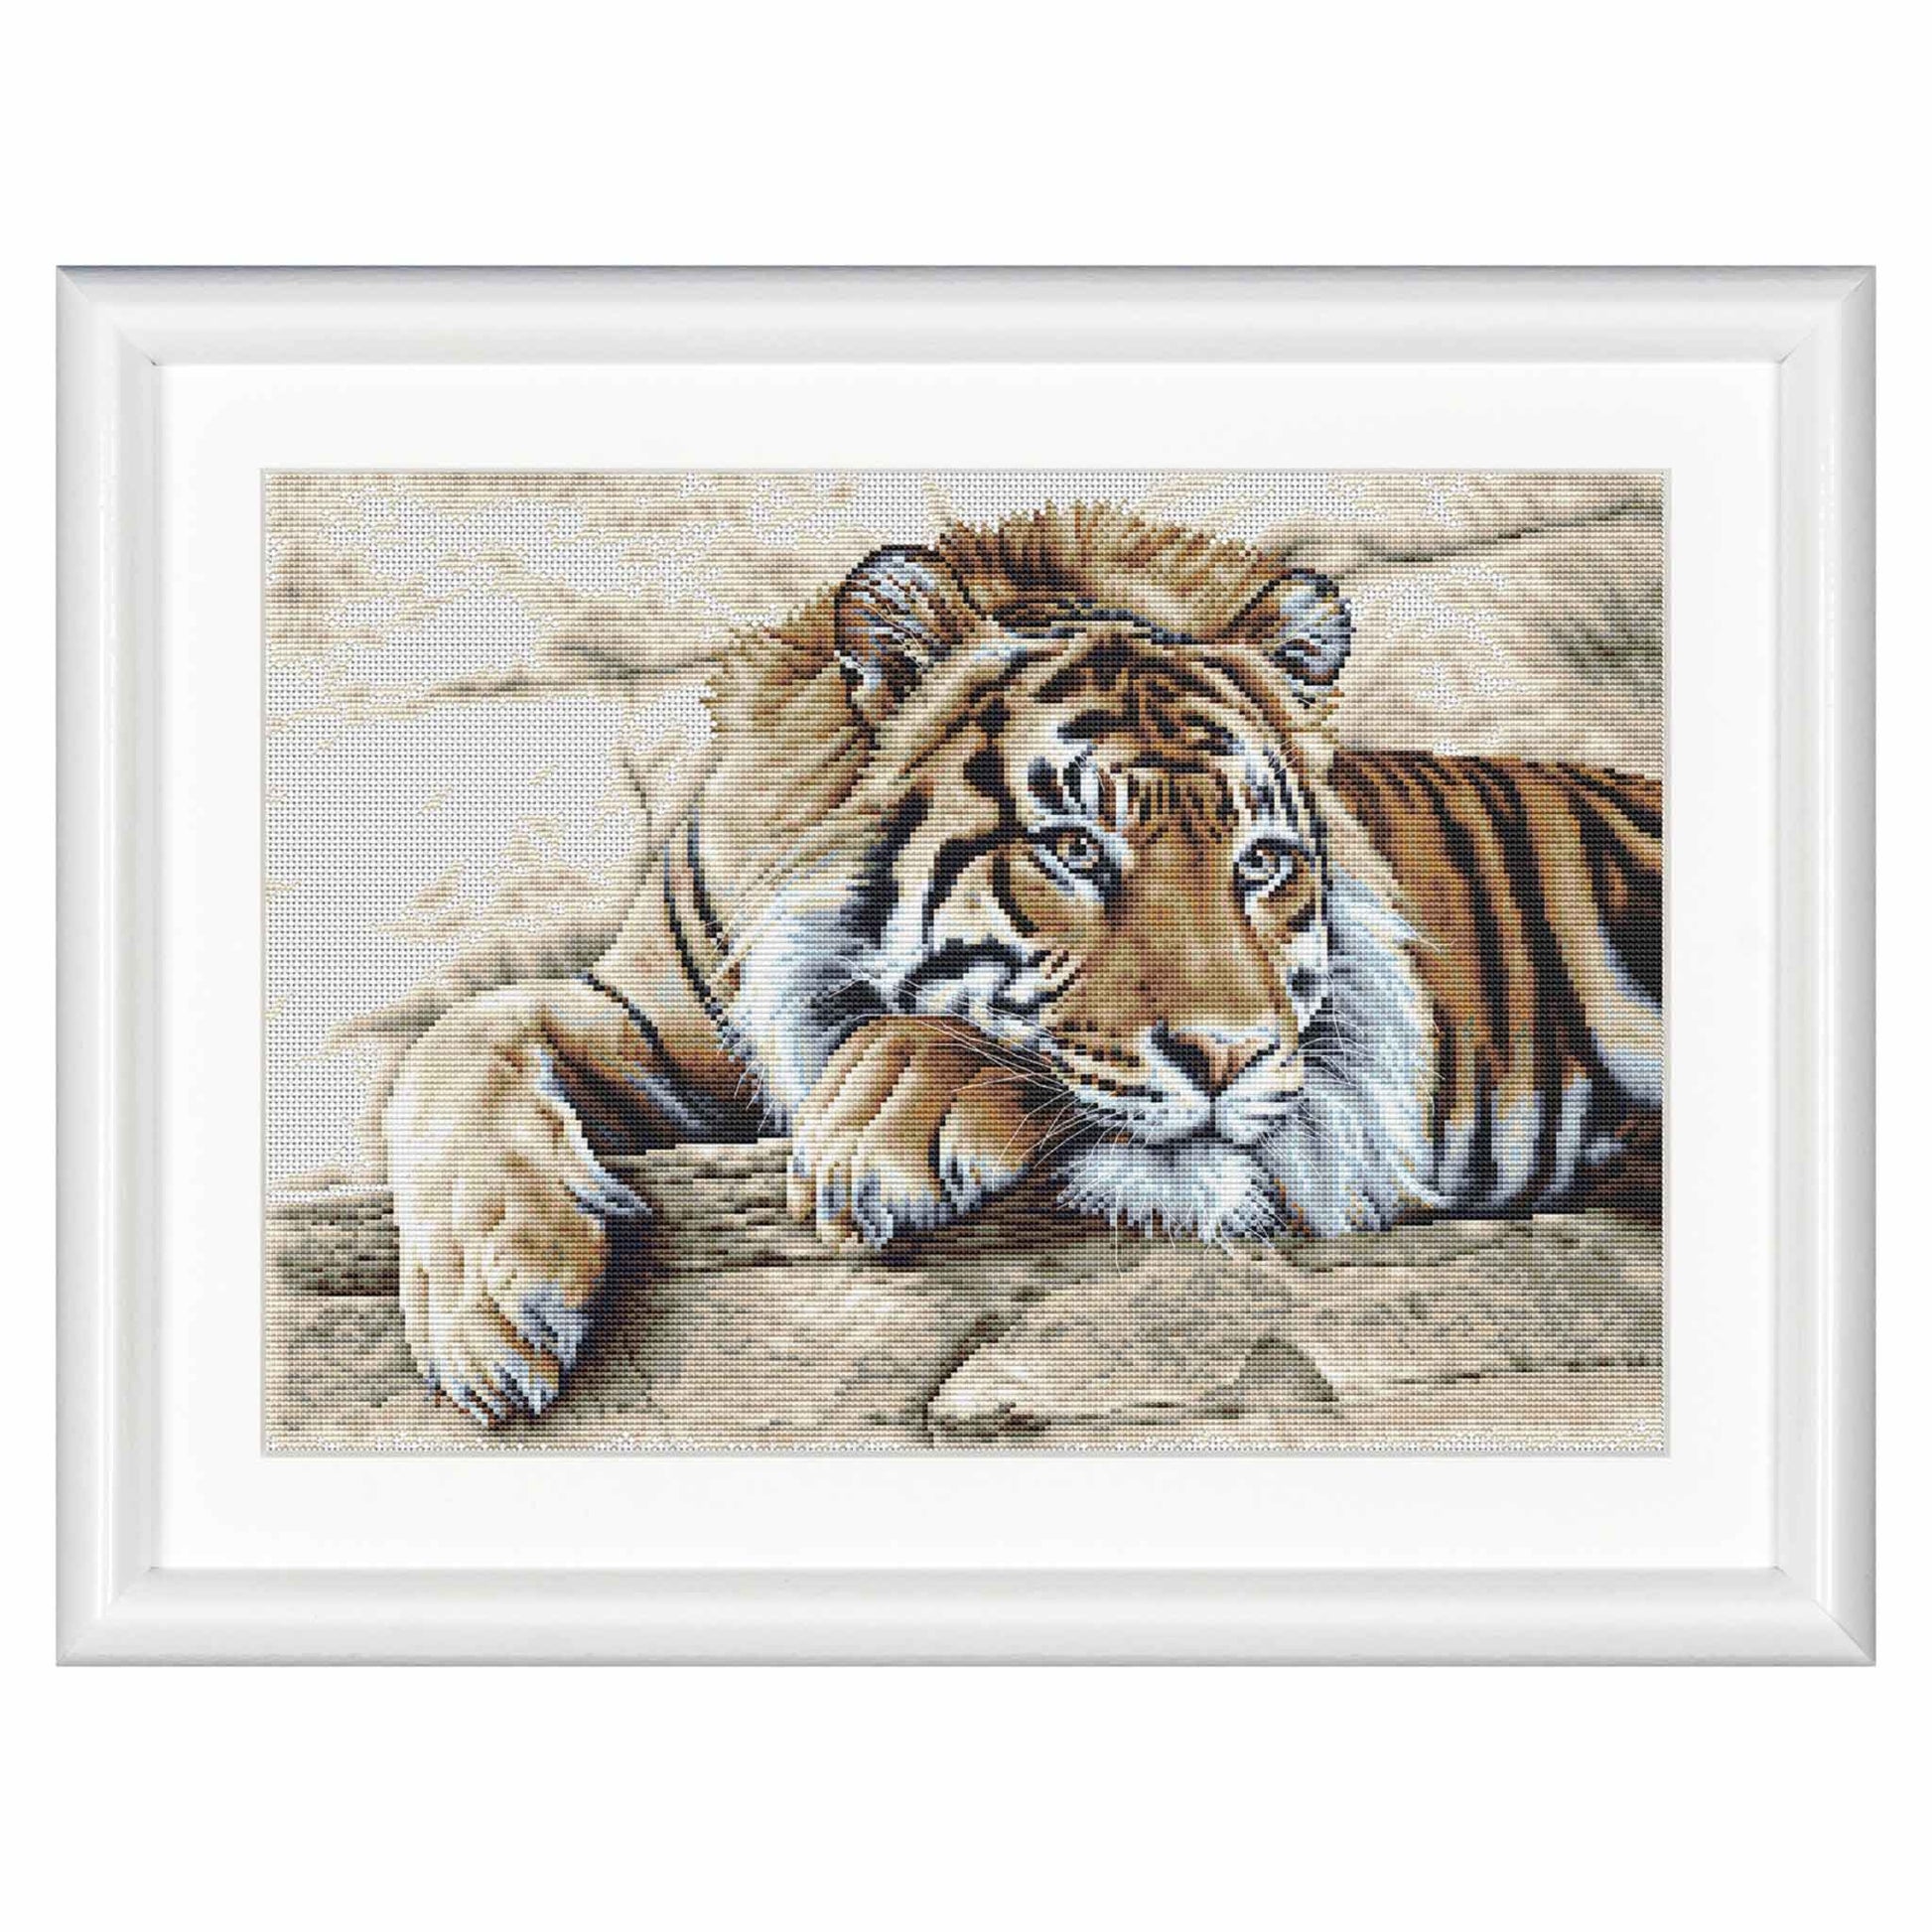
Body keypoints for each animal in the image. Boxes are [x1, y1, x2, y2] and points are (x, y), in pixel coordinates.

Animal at [383, 505, 1662, 1424]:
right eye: (1072, 847)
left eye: (1259, 860)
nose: (1227, 1056)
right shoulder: (655, 1016)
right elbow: (454, 1041)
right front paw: (493, 1307)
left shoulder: (1332, 1093)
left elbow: (995, 1050)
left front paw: (874, 1126)